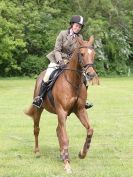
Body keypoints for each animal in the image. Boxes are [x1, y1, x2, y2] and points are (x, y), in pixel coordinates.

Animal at [24, 35, 96, 173]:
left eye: (93, 54)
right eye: (82, 54)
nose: (91, 74)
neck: (73, 81)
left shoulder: (80, 110)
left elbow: (90, 130)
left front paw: (82, 153)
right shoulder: (62, 111)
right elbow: (65, 137)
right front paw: (67, 165)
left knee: (58, 130)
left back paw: (62, 154)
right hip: (39, 109)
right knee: (37, 129)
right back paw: (37, 152)